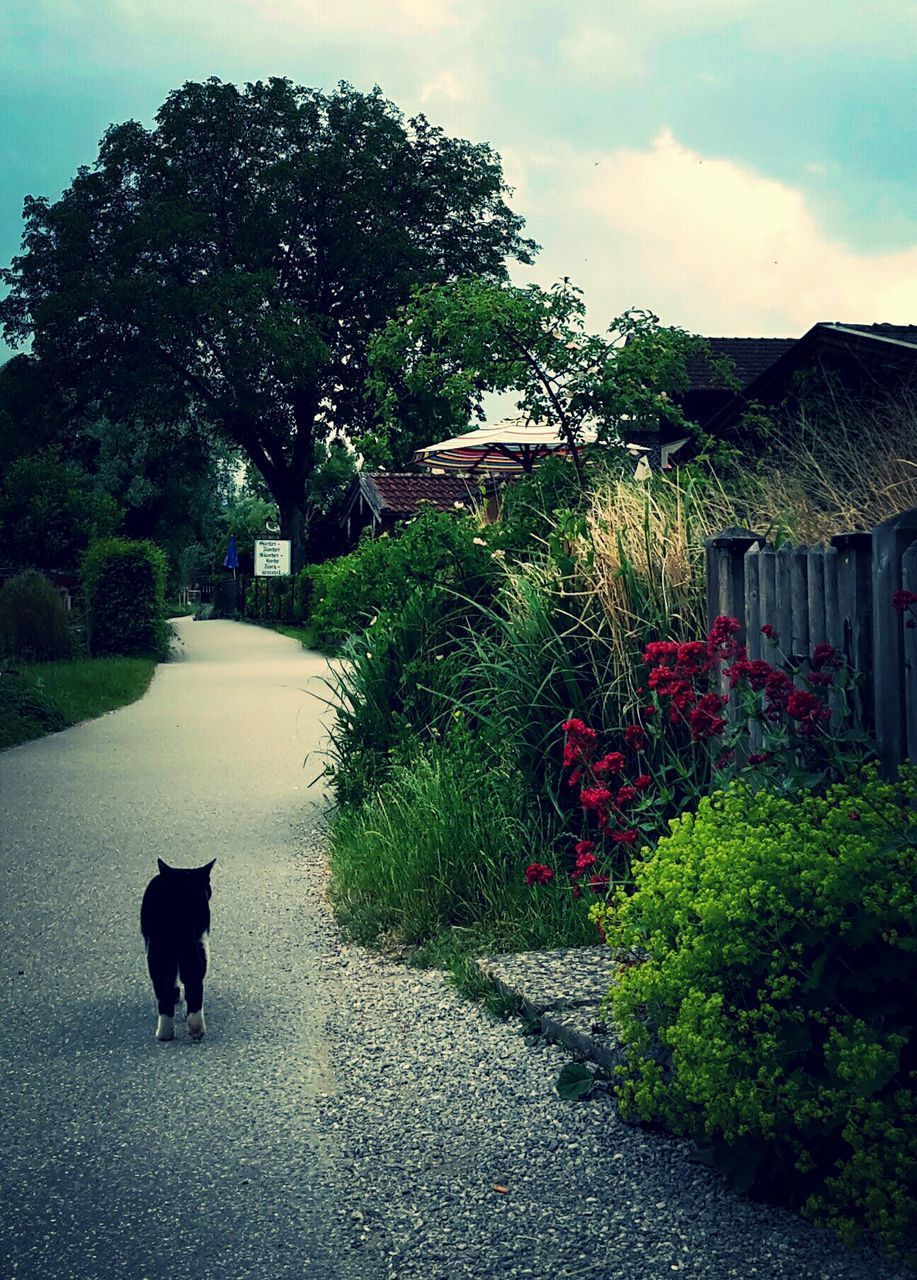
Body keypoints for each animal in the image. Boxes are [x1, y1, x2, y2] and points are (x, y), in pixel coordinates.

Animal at [139, 860, 215, 1039]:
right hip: (193, 946)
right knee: (192, 982)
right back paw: (191, 1028)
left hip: (160, 951)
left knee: (168, 988)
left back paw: (167, 1032)